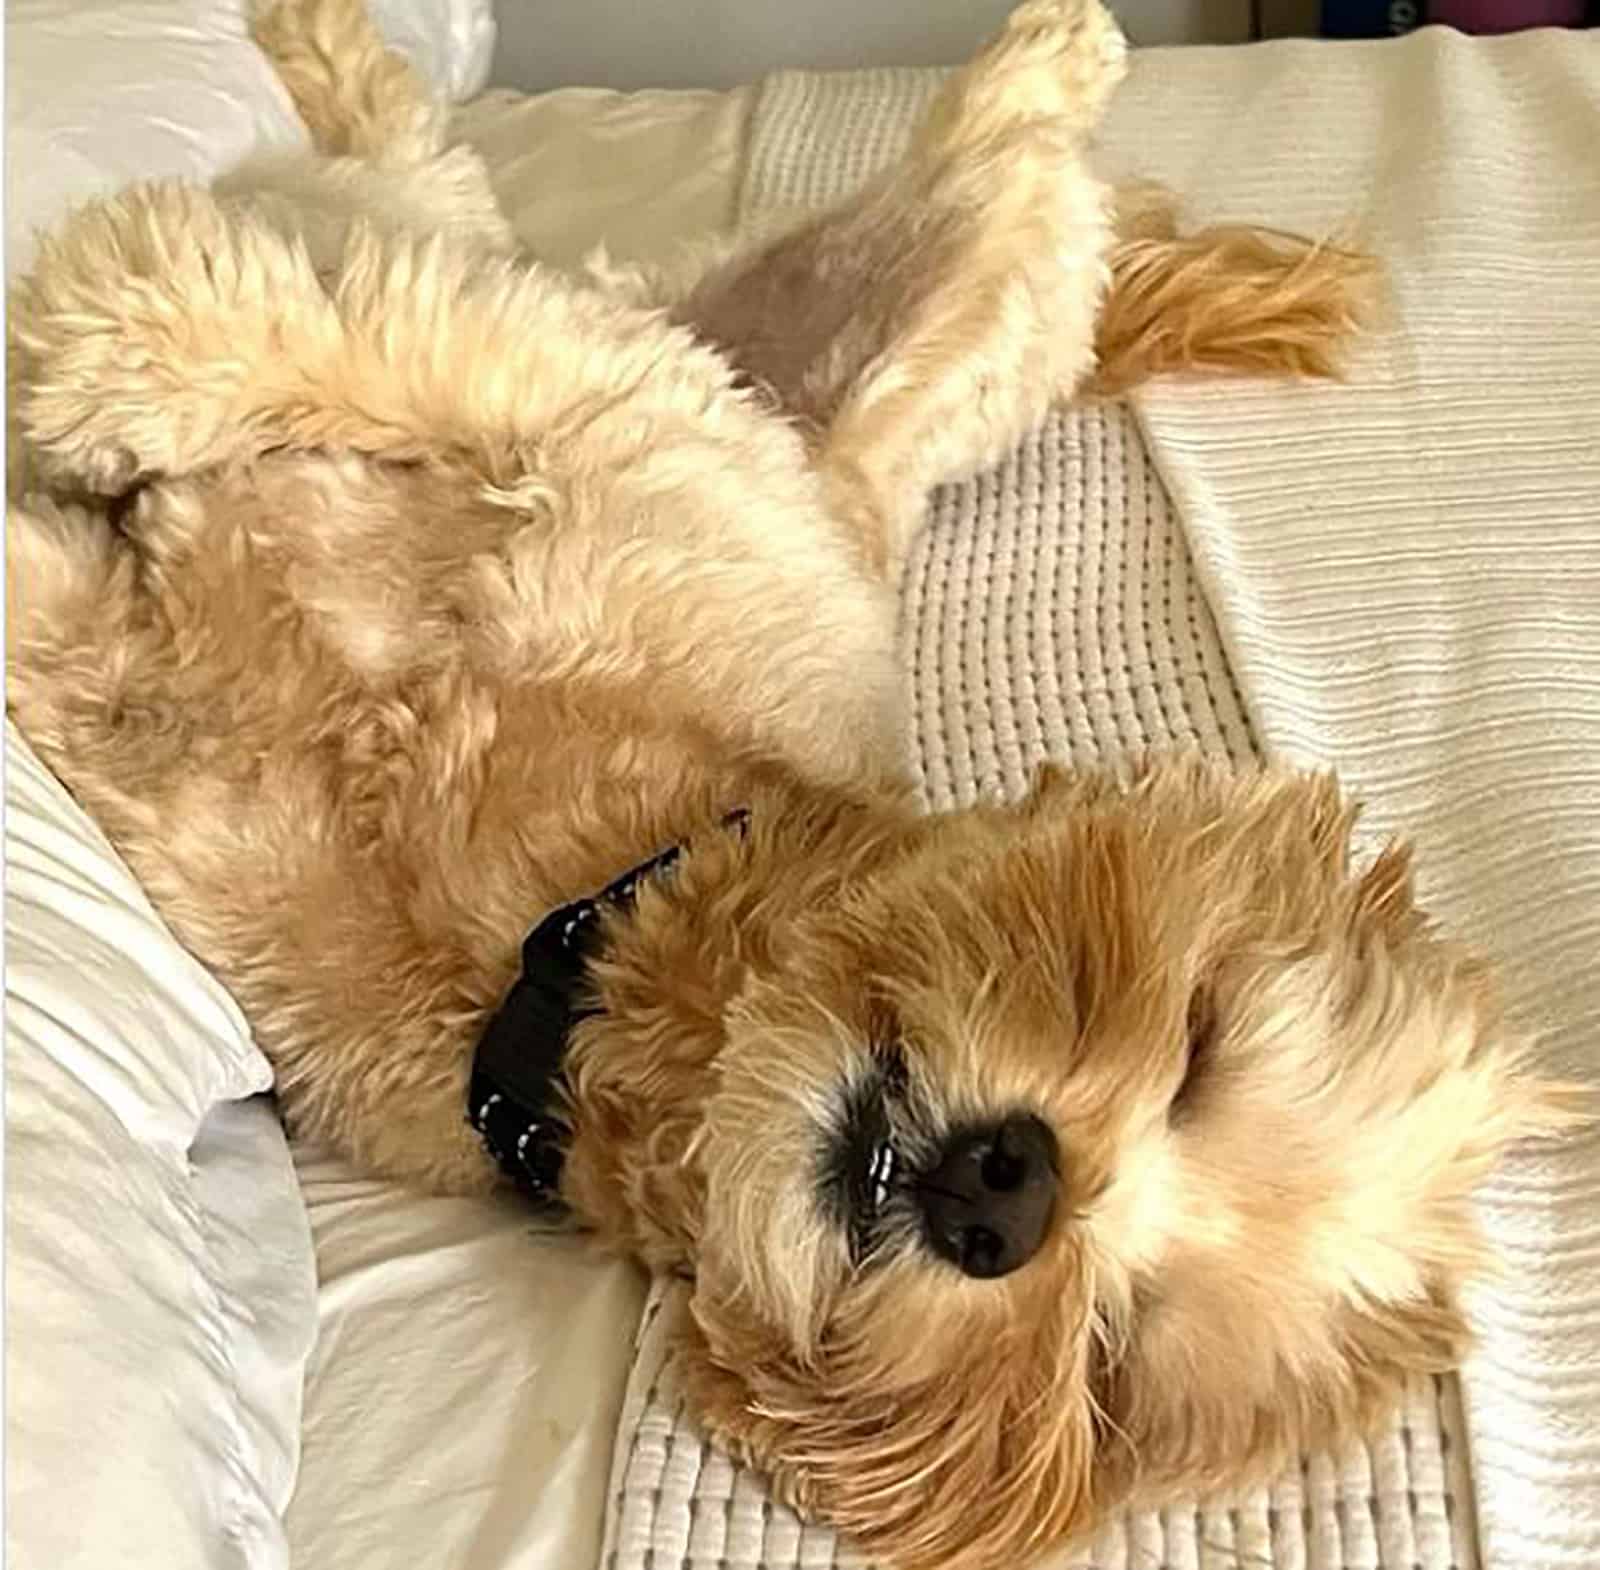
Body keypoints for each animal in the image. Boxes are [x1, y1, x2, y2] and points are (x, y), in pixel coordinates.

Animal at [3, 3, 1574, 1568]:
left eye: (1115, 1351)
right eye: (1201, 1041)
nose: (1012, 1195)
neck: (576, 931)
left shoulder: (161, 735)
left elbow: (73, 604)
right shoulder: (596, 422)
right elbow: (369, 346)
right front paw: (122, 352)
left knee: (435, 182)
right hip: (877, 269)